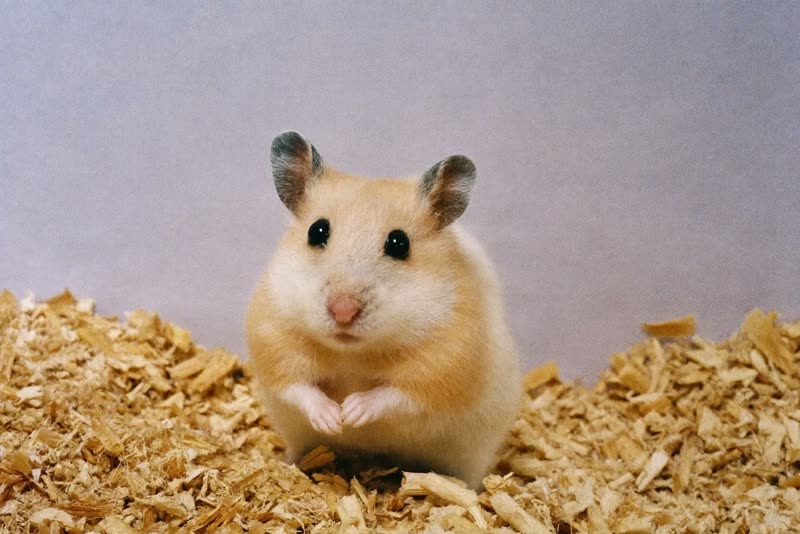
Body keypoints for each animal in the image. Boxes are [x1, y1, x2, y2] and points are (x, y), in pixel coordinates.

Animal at [246, 131, 522, 488]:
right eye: (316, 231)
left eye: (399, 243)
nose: (343, 311)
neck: (352, 354)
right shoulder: (273, 339)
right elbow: (298, 386)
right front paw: (333, 418)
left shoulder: (443, 366)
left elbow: (396, 396)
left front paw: (352, 411)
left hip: (473, 454)